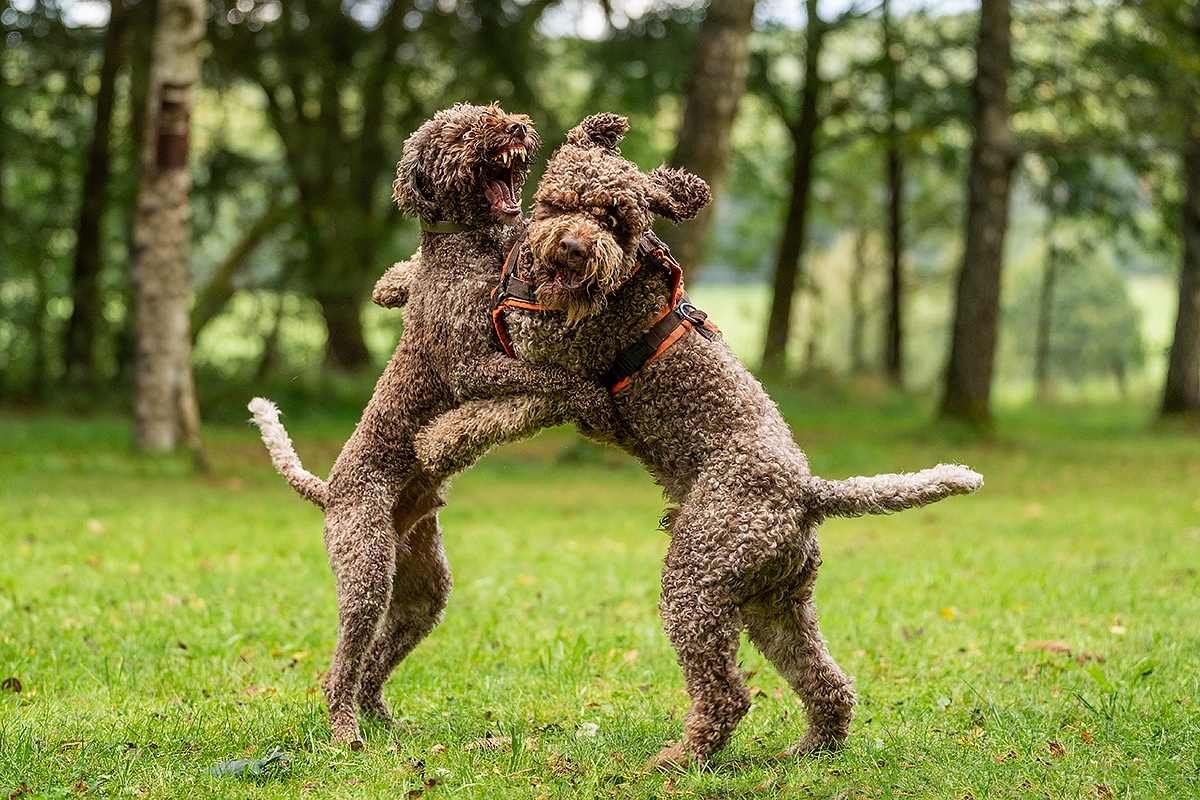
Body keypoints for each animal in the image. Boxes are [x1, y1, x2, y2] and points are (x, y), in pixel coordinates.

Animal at [247, 104, 614, 753]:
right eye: (460, 134)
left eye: (492, 113)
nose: (516, 126)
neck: (478, 243)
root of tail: (329, 492)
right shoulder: (474, 364)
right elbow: (546, 374)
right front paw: (586, 388)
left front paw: (394, 283)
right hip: (366, 570)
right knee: (342, 665)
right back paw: (346, 734)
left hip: (422, 589)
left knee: (374, 662)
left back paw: (382, 719)